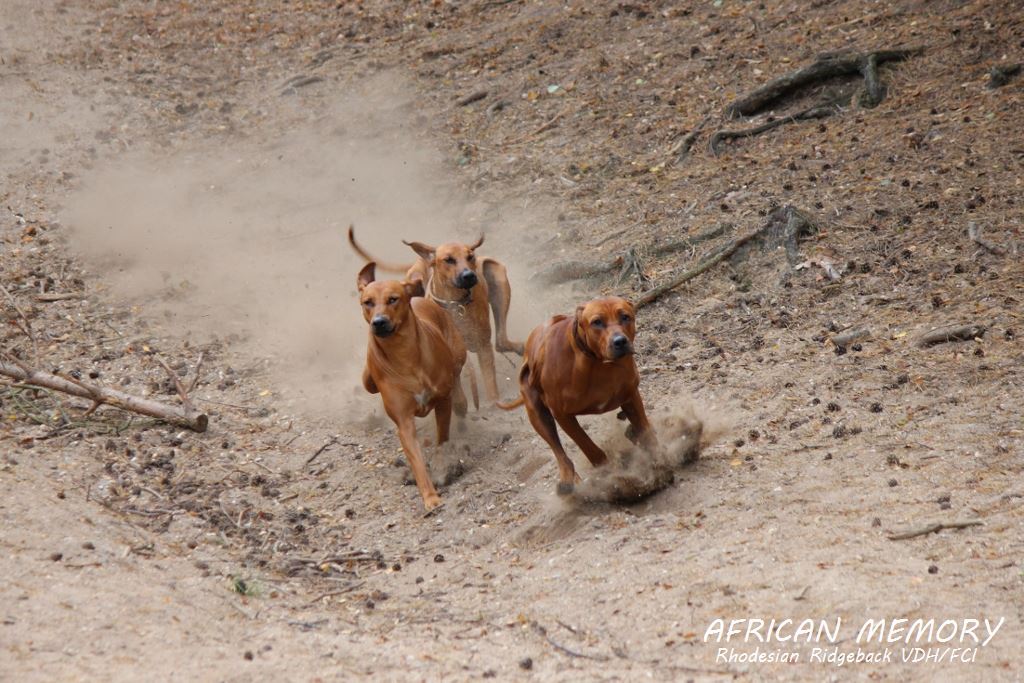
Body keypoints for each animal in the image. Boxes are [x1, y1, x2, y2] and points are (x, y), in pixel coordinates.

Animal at [348, 225, 523, 405]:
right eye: (448, 259)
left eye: (470, 256)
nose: (469, 276)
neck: (455, 303)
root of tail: (422, 258)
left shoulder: (482, 345)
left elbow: (490, 383)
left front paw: (494, 402)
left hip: (496, 272)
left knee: (501, 341)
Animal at [356, 262, 469, 511]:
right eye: (368, 302)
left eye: (393, 299)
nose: (378, 322)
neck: (403, 355)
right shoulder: (404, 421)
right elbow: (416, 460)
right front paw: (430, 496)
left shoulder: (442, 401)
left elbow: (442, 437)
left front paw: (442, 464)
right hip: (368, 381)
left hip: (457, 350)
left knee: (457, 374)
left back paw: (461, 399)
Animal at [500, 296, 658, 494]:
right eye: (597, 322)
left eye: (625, 317)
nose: (620, 341)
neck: (598, 363)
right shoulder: (562, 415)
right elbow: (589, 447)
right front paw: (608, 474)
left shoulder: (631, 395)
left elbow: (645, 430)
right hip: (537, 412)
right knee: (558, 450)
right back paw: (568, 479)